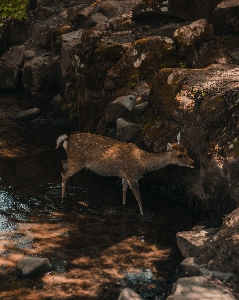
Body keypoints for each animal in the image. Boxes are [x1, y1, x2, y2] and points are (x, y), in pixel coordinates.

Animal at [55, 132, 194, 216]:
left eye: (186, 151)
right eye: (179, 155)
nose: (193, 162)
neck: (144, 163)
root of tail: (66, 140)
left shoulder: (124, 176)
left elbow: (124, 192)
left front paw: (124, 206)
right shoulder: (132, 175)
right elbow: (139, 197)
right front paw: (143, 215)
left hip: (73, 160)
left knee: (63, 164)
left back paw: (69, 190)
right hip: (77, 161)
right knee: (63, 174)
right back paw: (62, 197)